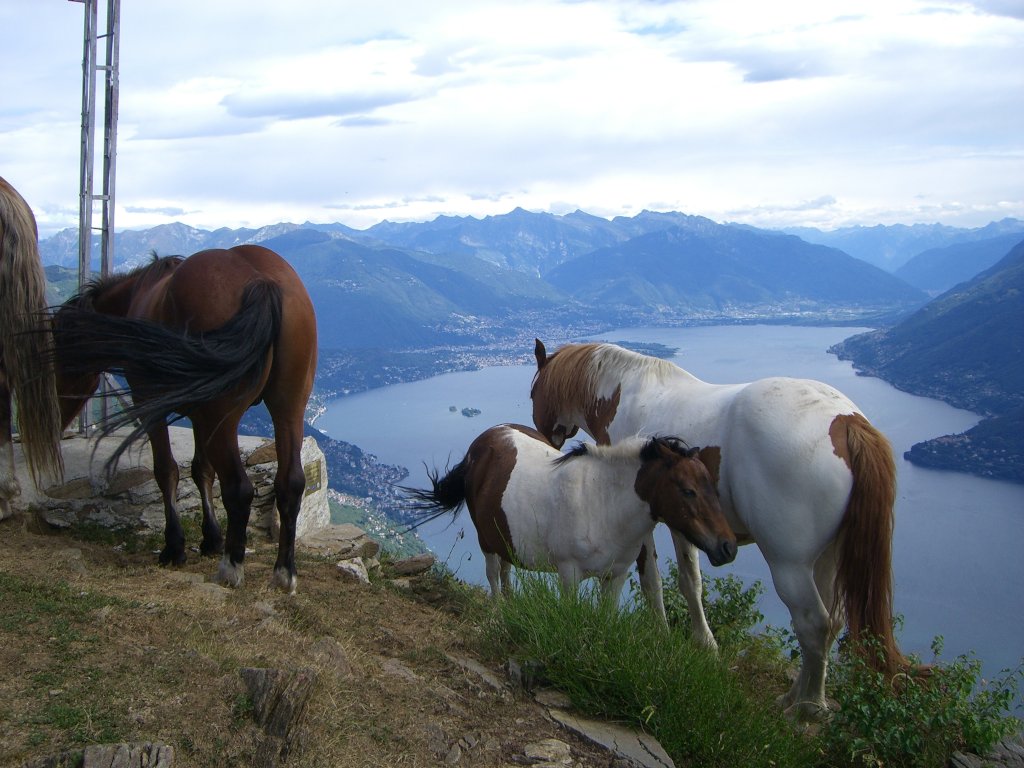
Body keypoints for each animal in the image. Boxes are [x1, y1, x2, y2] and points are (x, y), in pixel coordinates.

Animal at [51, 245, 317, 593]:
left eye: (61, 351)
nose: (57, 410)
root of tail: (261, 281)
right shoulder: (199, 413)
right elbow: (201, 470)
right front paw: (211, 539)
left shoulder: (150, 403)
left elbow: (167, 470)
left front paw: (174, 547)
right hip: (288, 407)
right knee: (291, 483)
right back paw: (284, 572)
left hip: (223, 415)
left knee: (239, 487)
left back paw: (231, 567)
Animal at [404, 423, 736, 615]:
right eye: (688, 490)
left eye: (712, 486)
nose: (728, 547)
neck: (603, 504)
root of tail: (482, 442)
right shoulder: (569, 574)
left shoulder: (615, 576)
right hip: (486, 539)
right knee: (493, 574)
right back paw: (499, 611)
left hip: (504, 536)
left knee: (506, 569)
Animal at [531, 338, 907, 720]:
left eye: (533, 392)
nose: (545, 440)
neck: (626, 394)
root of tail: (846, 422)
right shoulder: (684, 526)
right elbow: (690, 582)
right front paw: (704, 645)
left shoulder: (647, 520)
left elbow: (655, 581)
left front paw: (667, 636)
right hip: (828, 557)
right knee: (831, 622)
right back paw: (793, 697)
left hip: (790, 564)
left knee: (813, 624)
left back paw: (807, 708)